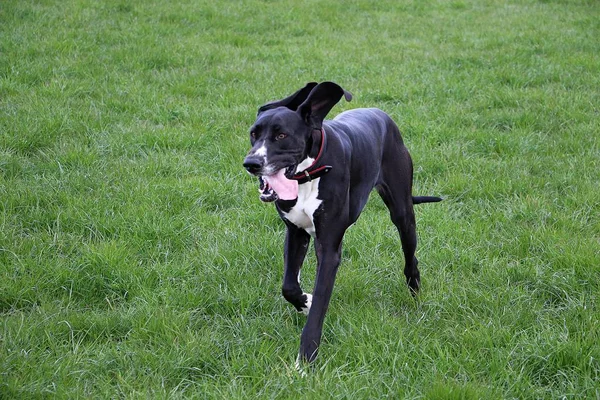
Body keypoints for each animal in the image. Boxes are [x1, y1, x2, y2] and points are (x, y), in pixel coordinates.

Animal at [240, 81, 440, 366]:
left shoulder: (329, 249)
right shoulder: (296, 233)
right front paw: (304, 302)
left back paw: (414, 294)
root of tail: (380, 113)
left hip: (402, 212)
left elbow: (319, 305)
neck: (308, 172)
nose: (251, 163)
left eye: (282, 136)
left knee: (410, 256)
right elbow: (289, 286)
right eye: (253, 134)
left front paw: (306, 359)